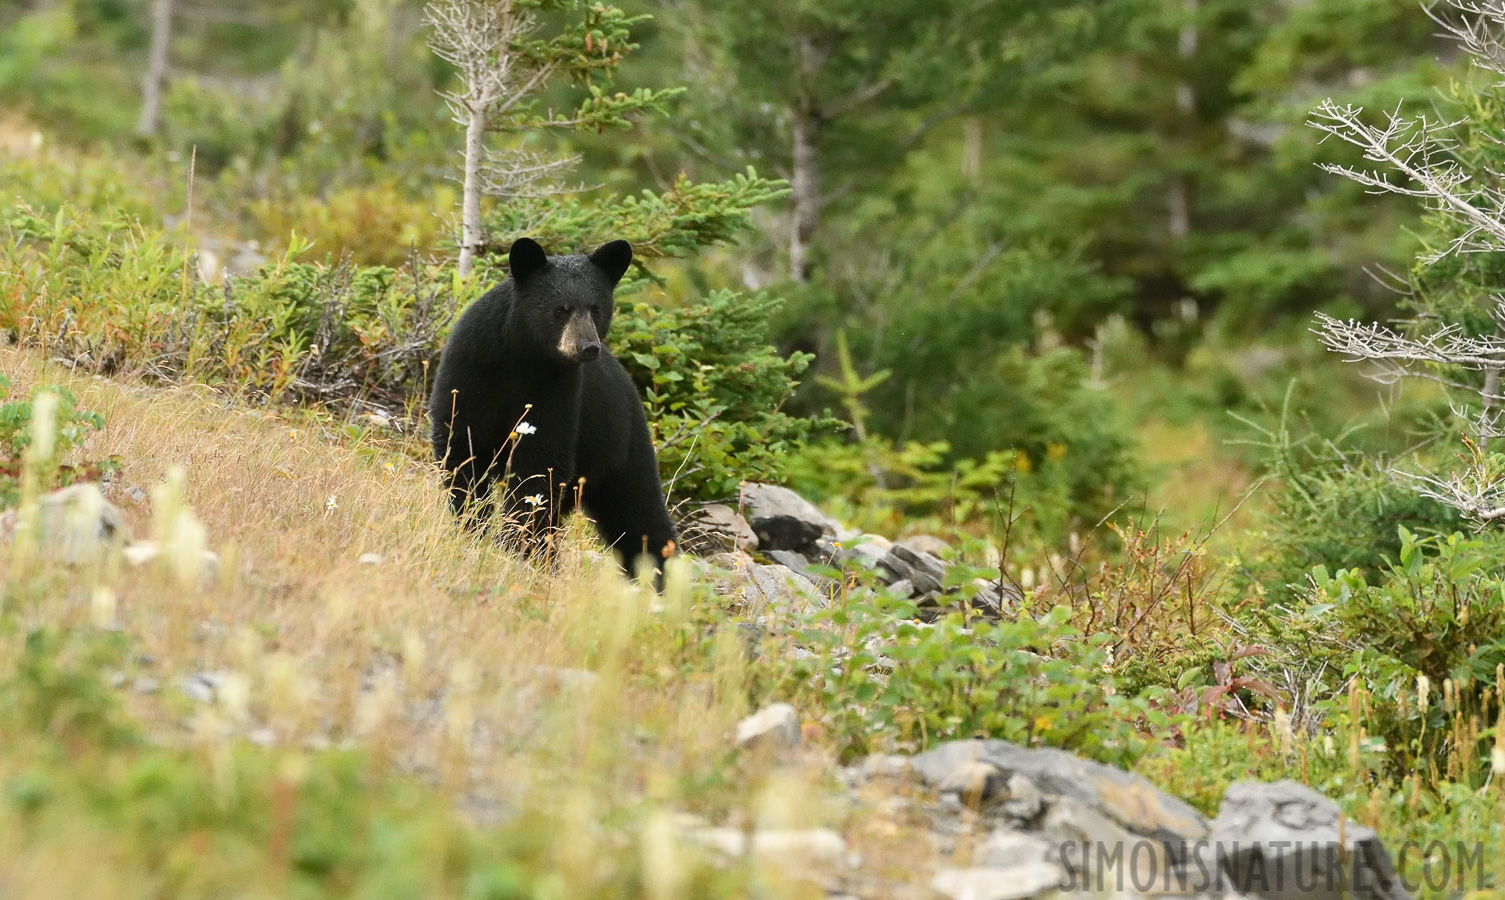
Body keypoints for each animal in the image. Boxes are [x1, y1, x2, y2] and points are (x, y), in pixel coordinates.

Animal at [430, 236, 677, 580]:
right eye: (561, 309)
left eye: (596, 308)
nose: (588, 347)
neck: (523, 354)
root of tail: (630, 387)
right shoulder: (471, 371)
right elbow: (463, 447)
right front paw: (476, 529)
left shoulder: (557, 388)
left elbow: (539, 463)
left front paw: (516, 544)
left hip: (618, 445)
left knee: (639, 514)